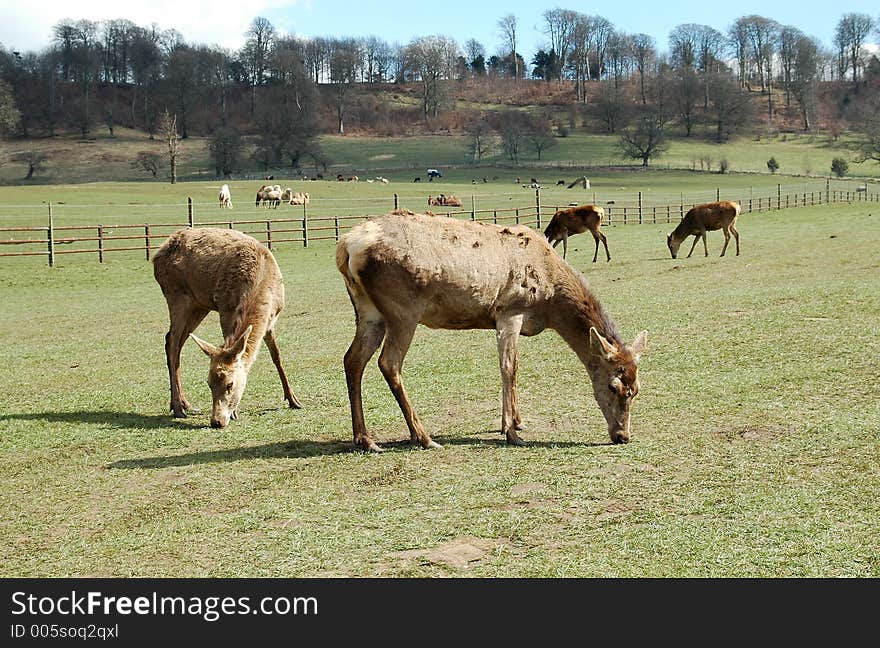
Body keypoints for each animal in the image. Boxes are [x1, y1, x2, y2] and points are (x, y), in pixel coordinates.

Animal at [151, 225, 302, 428]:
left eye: (230, 384)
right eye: (209, 383)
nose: (216, 421)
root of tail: (157, 255)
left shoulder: (271, 321)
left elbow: (276, 356)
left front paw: (294, 400)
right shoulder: (225, 310)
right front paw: (236, 412)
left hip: (199, 305)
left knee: (178, 342)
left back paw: (185, 403)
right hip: (175, 294)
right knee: (171, 341)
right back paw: (177, 408)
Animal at [336, 210, 648, 454]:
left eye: (636, 389)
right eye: (613, 385)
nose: (622, 436)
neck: (550, 298)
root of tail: (347, 247)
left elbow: (511, 368)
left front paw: (516, 421)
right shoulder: (510, 310)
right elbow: (510, 367)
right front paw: (512, 432)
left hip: (369, 311)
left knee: (352, 359)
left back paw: (365, 439)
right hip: (403, 310)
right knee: (389, 363)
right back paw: (423, 437)